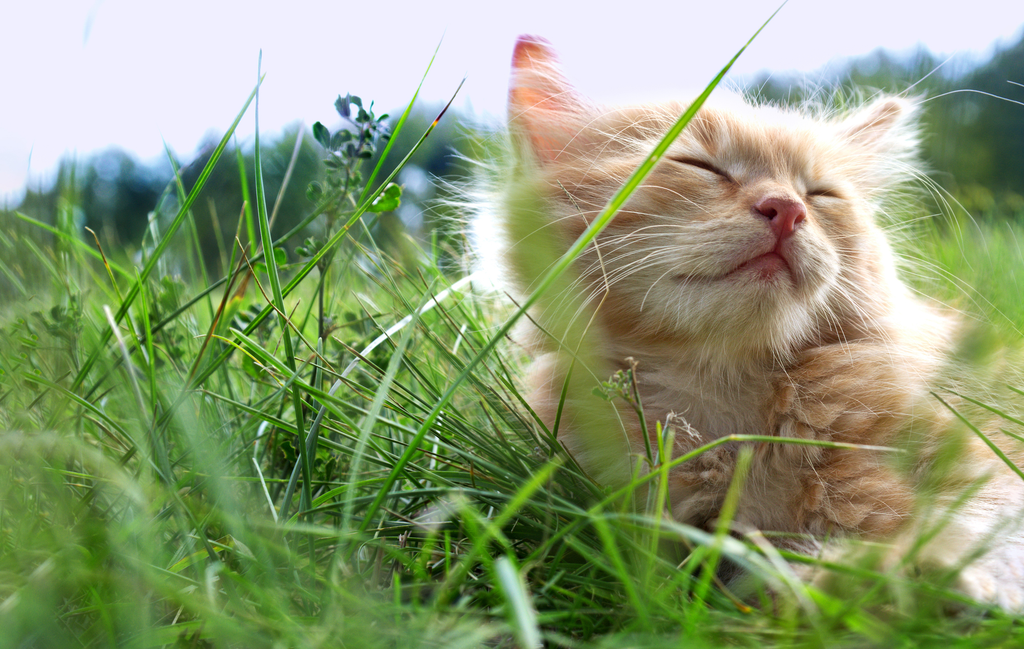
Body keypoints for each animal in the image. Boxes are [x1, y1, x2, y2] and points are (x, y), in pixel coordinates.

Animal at [473, 34, 1024, 610]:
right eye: (700, 165)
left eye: (820, 194)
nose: (786, 208)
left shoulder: (989, 479)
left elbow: (971, 537)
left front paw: (916, 576)